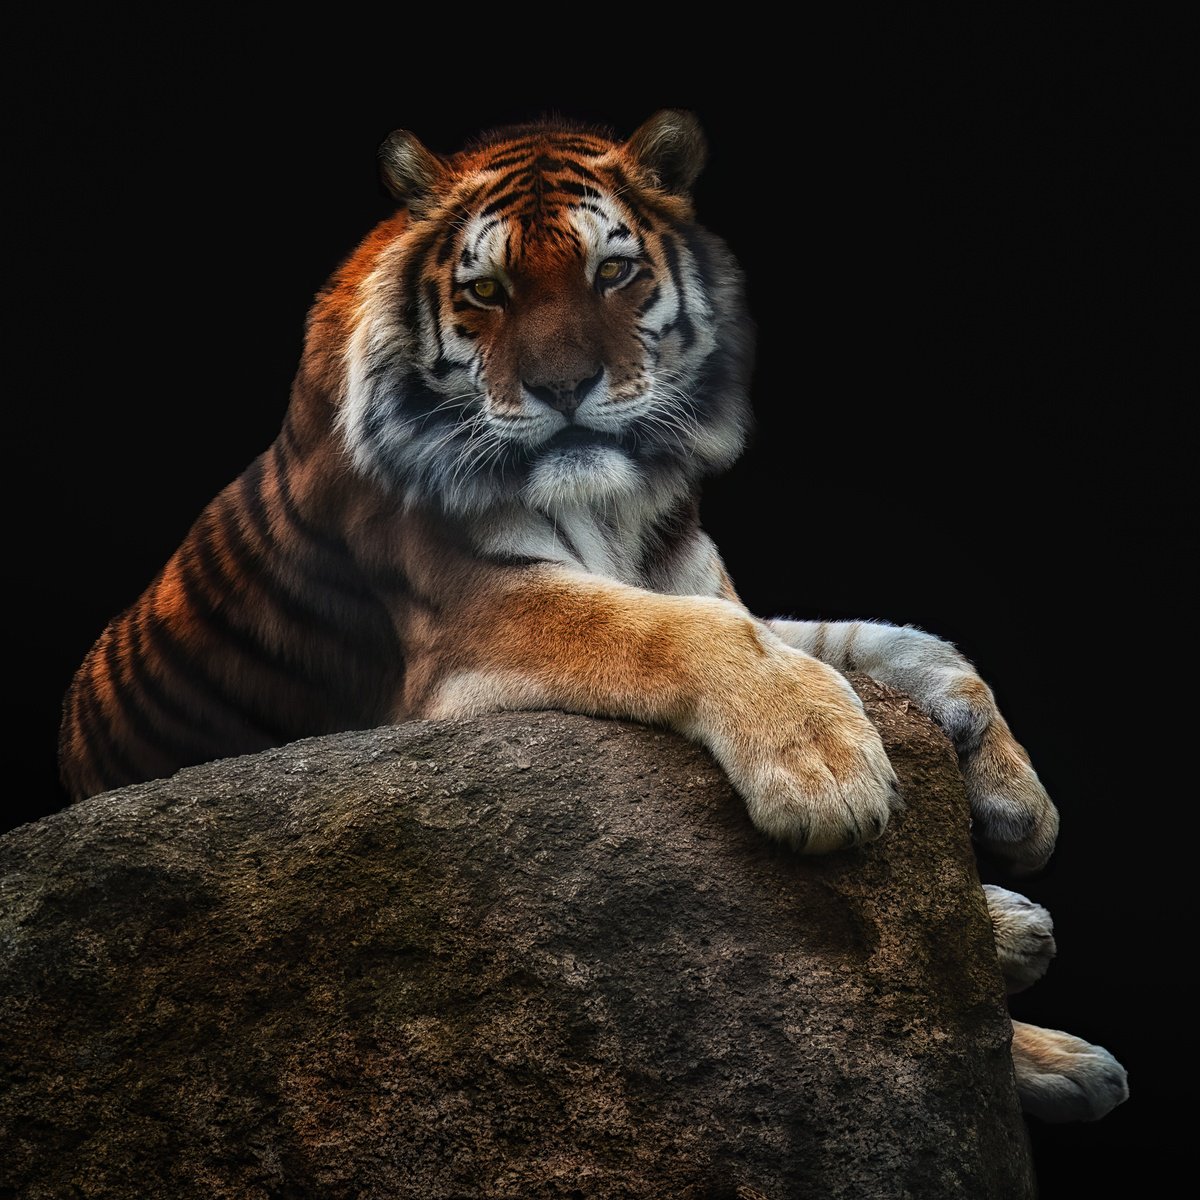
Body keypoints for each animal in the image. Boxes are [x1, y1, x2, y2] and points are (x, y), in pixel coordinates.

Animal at [58, 110, 1127, 1124]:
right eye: (487, 291)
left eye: (612, 272)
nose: (563, 387)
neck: (618, 504)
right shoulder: (478, 617)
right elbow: (681, 635)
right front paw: (826, 773)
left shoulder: (703, 579)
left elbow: (893, 642)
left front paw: (1018, 801)